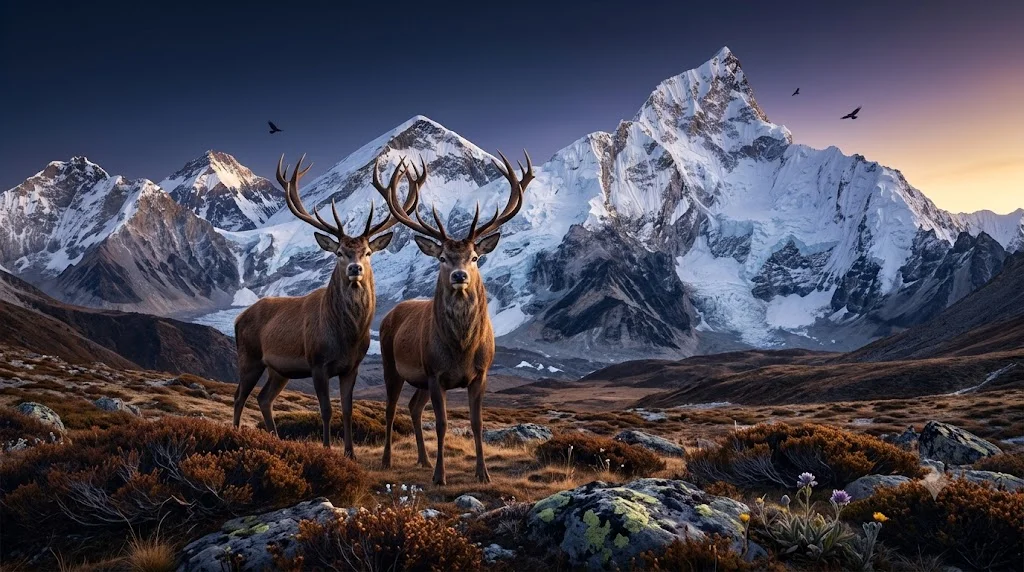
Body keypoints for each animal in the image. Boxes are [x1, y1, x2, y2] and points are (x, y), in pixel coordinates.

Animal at [232, 153, 419, 458]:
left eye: (368, 252)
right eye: (340, 252)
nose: (355, 269)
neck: (346, 337)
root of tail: (238, 318)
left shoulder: (351, 367)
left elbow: (347, 410)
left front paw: (350, 453)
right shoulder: (317, 363)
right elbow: (326, 410)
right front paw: (328, 448)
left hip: (278, 369)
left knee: (263, 398)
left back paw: (275, 439)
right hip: (249, 356)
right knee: (239, 396)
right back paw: (236, 433)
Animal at [375, 151, 533, 485]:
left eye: (475, 256)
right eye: (442, 257)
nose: (460, 276)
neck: (461, 349)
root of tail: (389, 315)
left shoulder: (481, 373)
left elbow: (477, 423)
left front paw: (483, 473)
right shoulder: (436, 373)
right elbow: (443, 424)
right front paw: (440, 476)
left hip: (419, 380)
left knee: (413, 407)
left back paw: (422, 460)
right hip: (391, 365)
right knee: (391, 409)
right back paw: (387, 460)